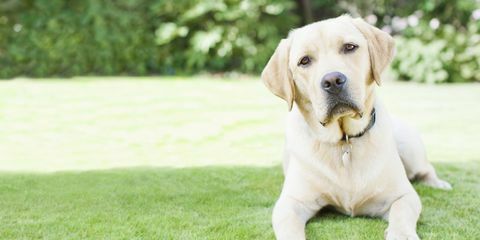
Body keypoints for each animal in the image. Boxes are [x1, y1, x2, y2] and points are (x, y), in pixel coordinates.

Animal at [260, 15, 452, 240]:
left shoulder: (403, 195)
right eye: (304, 61)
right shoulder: (290, 202)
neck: (345, 140)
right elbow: (289, 227)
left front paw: (401, 234)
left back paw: (439, 184)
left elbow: (401, 212)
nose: (333, 80)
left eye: (349, 47)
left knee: (426, 170)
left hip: (410, 148)